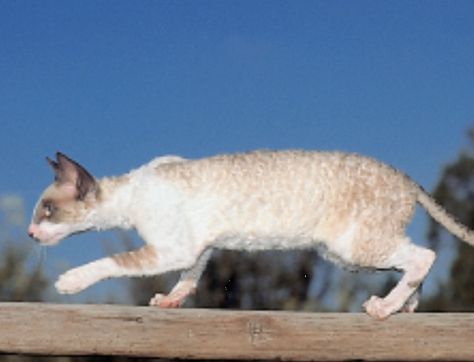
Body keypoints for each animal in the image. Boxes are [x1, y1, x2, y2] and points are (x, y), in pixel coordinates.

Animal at [27, 151, 472, 320]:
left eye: (47, 210)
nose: (30, 233)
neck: (131, 188)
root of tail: (406, 179)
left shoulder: (171, 248)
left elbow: (113, 263)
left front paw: (70, 282)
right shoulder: (197, 248)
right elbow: (190, 277)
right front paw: (170, 300)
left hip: (352, 246)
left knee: (424, 256)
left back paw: (385, 307)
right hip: (354, 251)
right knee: (414, 261)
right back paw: (404, 307)